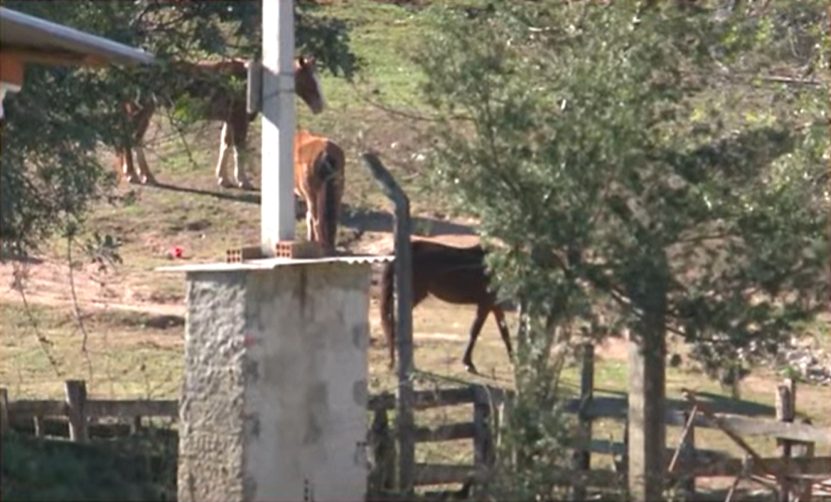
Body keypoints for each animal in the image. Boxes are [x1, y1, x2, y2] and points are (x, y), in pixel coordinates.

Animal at [117, 55, 324, 188]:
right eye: (308, 79)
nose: (320, 106)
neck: (249, 81)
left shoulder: (230, 119)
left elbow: (226, 144)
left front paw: (223, 178)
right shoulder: (239, 120)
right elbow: (239, 148)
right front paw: (242, 180)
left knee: (136, 139)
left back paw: (145, 175)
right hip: (140, 110)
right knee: (131, 138)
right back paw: (133, 174)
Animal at [378, 238, 510, 372]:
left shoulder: (494, 305)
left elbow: (504, 332)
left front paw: (513, 359)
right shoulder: (485, 304)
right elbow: (475, 331)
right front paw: (468, 363)